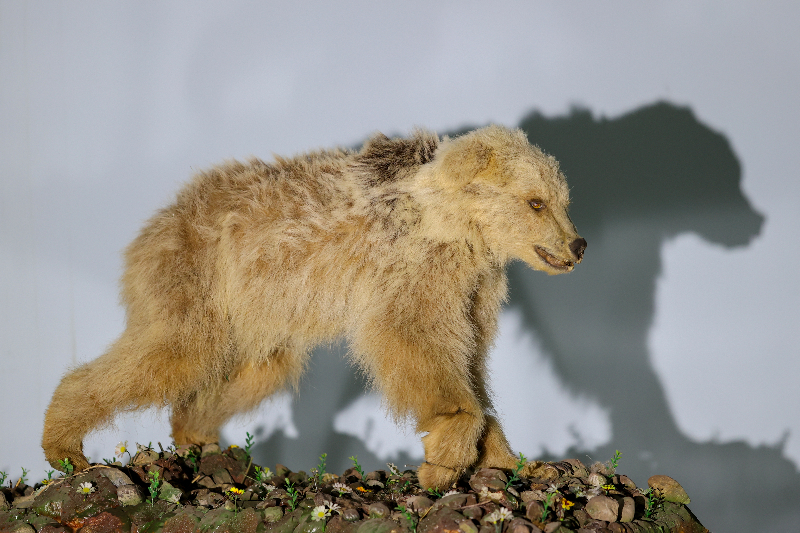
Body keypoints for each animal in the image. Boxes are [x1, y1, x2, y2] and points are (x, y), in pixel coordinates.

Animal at [40, 123, 584, 486]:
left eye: (563, 200)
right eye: (535, 202)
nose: (577, 245)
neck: (460, 230)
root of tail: (156, 222)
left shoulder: (472, 292)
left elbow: (472, 369)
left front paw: (514, 461)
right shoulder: (414, 278)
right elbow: (416, 347)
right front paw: (444, 461)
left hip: (255, 321)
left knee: (242, 376)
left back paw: (199, 440)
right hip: (195, 283)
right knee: (166, 355)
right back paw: (65, 446)